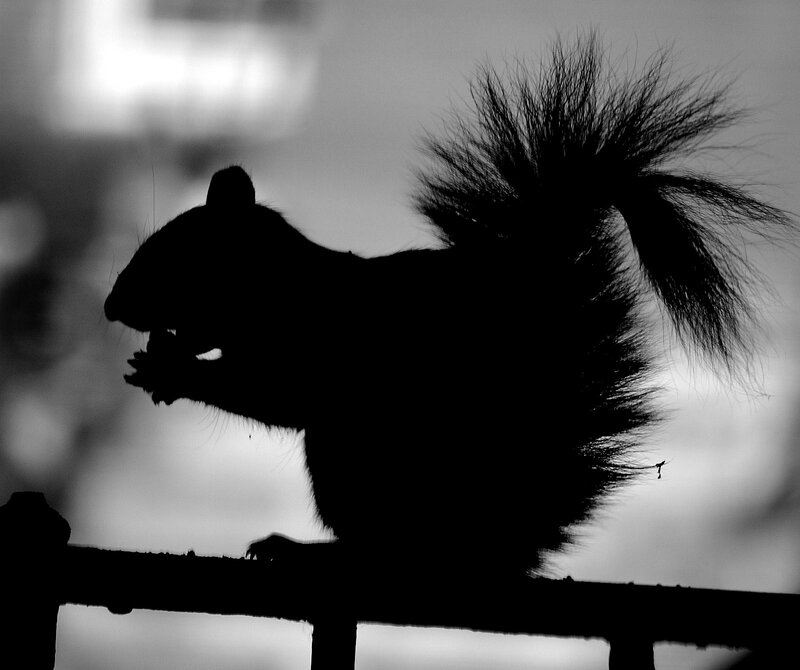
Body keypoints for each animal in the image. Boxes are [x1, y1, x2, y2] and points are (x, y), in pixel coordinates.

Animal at [104, 35, 789, 579]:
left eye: (173, 253)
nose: (111, 306)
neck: (279, 284)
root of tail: (497, 540)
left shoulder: (313, 339)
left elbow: (275, 391)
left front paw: (174, 370)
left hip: (355, 453)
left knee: (390, 547)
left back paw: (312, 551)